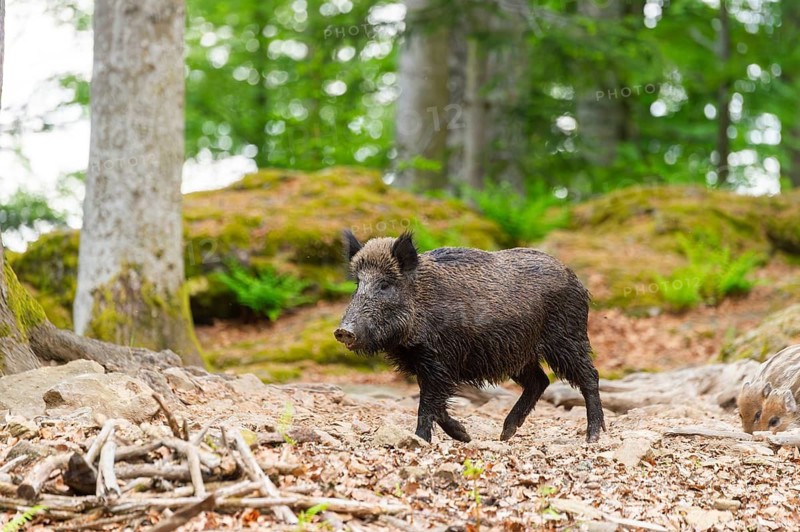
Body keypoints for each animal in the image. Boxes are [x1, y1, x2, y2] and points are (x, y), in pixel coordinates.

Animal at [333, 231, 606, 443]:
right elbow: (436, 404)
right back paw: (505, 434)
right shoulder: (427, 364)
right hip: (518, 353)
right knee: (540, 381)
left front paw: (420, 440)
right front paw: (464, 436)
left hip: (567, 339)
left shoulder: (439, 361)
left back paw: (592, 437)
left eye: (385, 285)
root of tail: (577, 280)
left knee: (589, 377)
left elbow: (428, 402)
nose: (342, 331)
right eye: (357, 284)